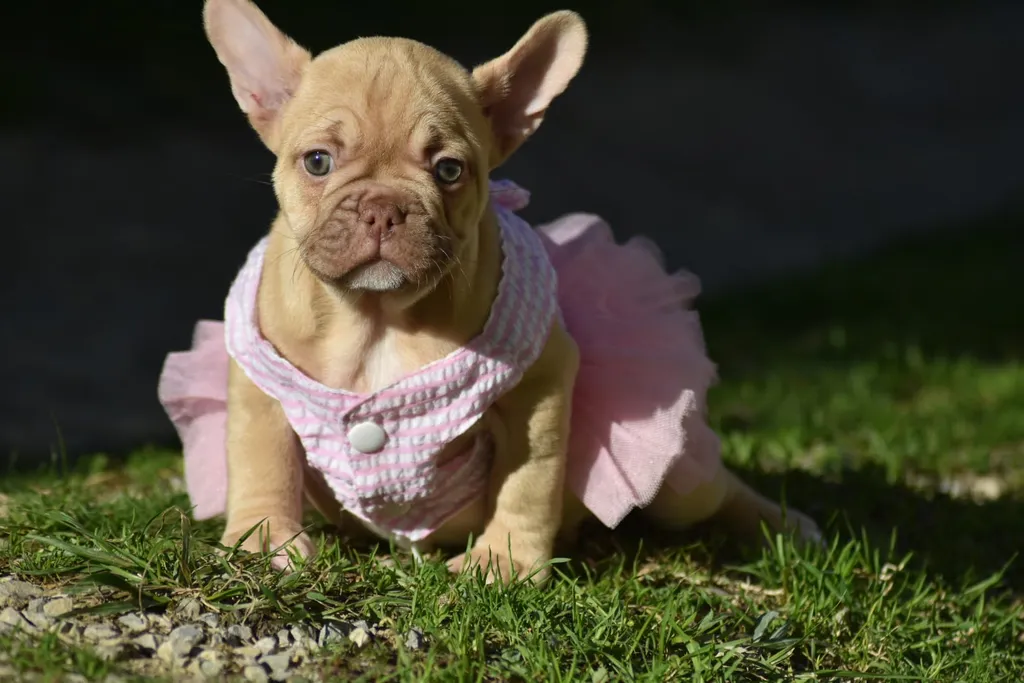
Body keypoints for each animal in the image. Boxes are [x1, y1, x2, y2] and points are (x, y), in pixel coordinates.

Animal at [159, 0, 823, 589]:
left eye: (449, 170)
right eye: (318, 162)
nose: (382, 208)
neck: (377, 319)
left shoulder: (539, 385)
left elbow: (527, 480)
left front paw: (504, 562)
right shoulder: (261, 384)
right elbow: (261, 458)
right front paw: (265, 541)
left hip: (680, 485)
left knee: (717, 489)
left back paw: (788, 527)